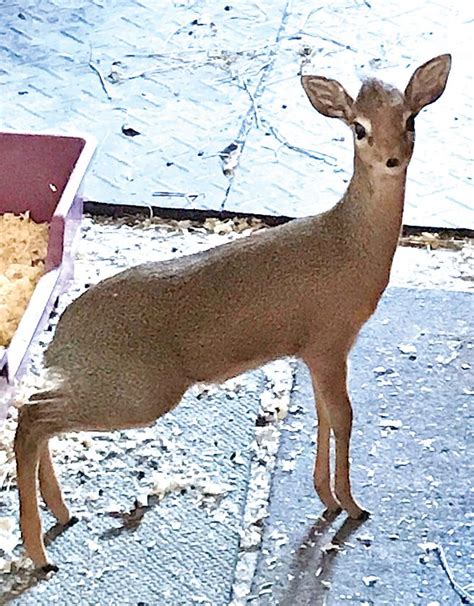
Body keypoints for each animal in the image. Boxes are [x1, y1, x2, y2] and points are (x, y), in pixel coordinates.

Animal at [14, 54, 452, 572]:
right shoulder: (329, 344)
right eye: (358, 127)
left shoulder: (316, 352)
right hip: (136, 394)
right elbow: (343, 417)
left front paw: (326, 496)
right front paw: (352, 504)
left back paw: (62, 515)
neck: (348, 242)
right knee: (32, 419)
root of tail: (63, 337)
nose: (391, 160)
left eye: (410, 119)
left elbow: (324, 416)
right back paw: (40, 552)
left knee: (32, 410)